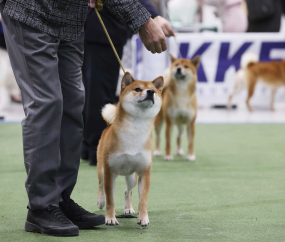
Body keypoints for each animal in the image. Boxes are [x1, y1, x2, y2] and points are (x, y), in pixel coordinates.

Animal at [96, 72, 163, 227]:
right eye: (138, 89)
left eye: (153, 90)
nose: (150, 92)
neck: (135, 128)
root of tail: (108, 125)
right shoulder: (110, 172)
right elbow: (110, 200)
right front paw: (110, 218)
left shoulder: (144, 172)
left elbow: (143, 200)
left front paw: (143, 218)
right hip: (102, 169)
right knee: (101, 185)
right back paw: (101, 201)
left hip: (132, 177)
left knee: (128, 191)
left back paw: (129, 209)